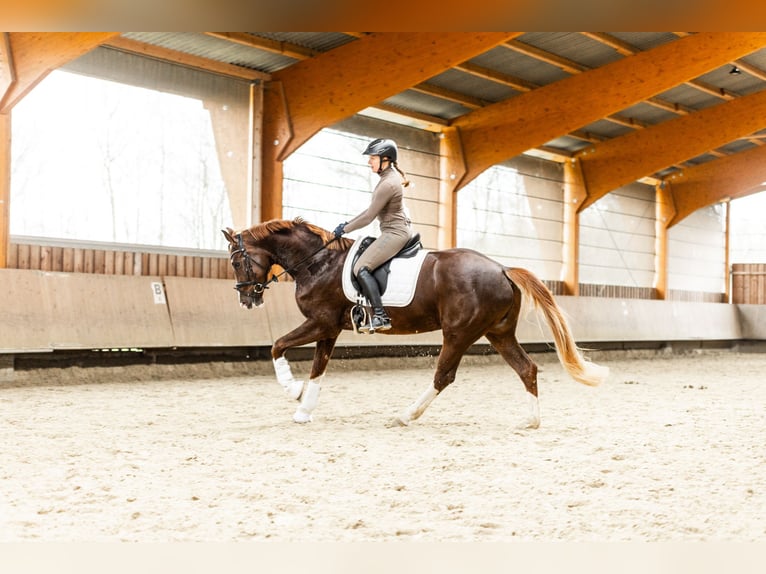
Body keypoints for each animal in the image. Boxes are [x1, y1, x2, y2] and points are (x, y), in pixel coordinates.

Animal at [222, 217, 608, 426]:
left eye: (237, 262)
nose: (246, 300)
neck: (318, 262)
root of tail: (501, 268)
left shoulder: (321, 323)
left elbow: (277, 346)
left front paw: (292, 390)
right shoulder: (329, 329)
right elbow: (318, 369)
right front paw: (304, 407)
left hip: (459, 333)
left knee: (444, 376)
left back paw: (406, 415)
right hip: (498, 333)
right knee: (526, 368)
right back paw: (531, 420)